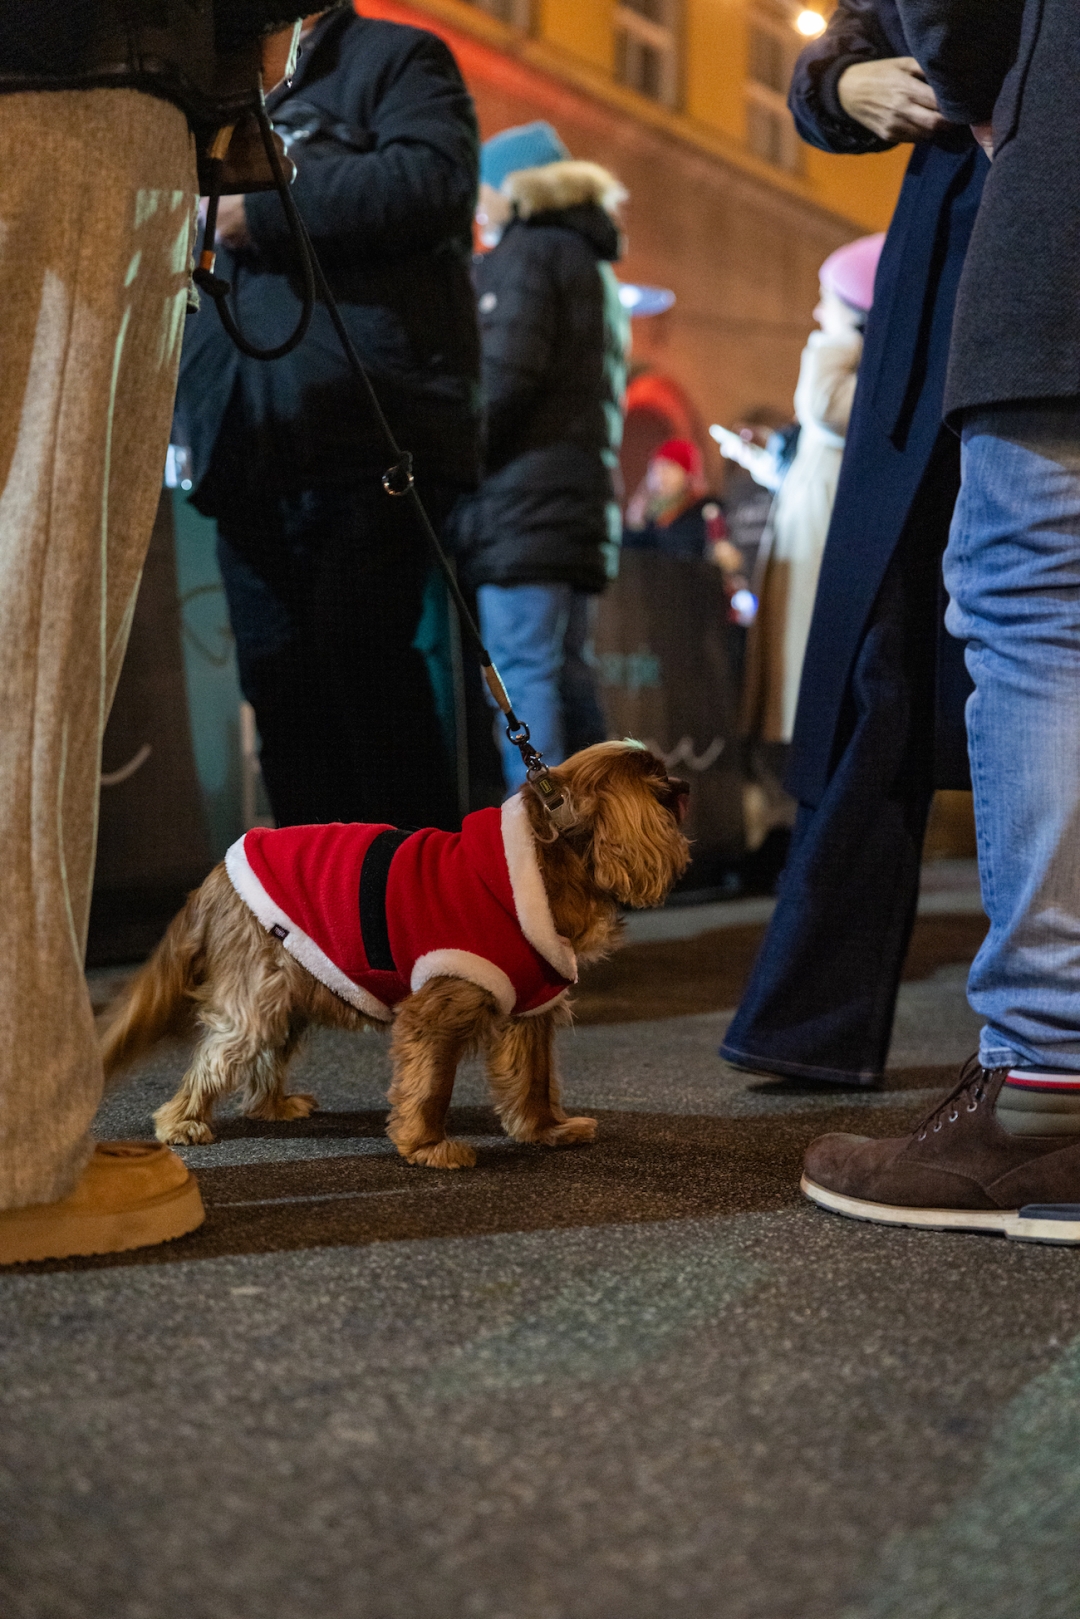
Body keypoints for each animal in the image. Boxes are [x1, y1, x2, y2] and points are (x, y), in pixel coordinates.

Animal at [103, 741, 693, 1172]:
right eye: (660, 786)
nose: (687, 785)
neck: (546, 866)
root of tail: (213, 879)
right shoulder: (437, 1010)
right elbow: (431, 1085)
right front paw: (427, 1146)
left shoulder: (531, 1011)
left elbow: (534, 1080)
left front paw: (547, 1129)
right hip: (260, 992)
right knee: (220, 1053)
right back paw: (181, 1122)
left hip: (293, 988)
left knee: (266, 1052)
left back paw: (271, 1106)